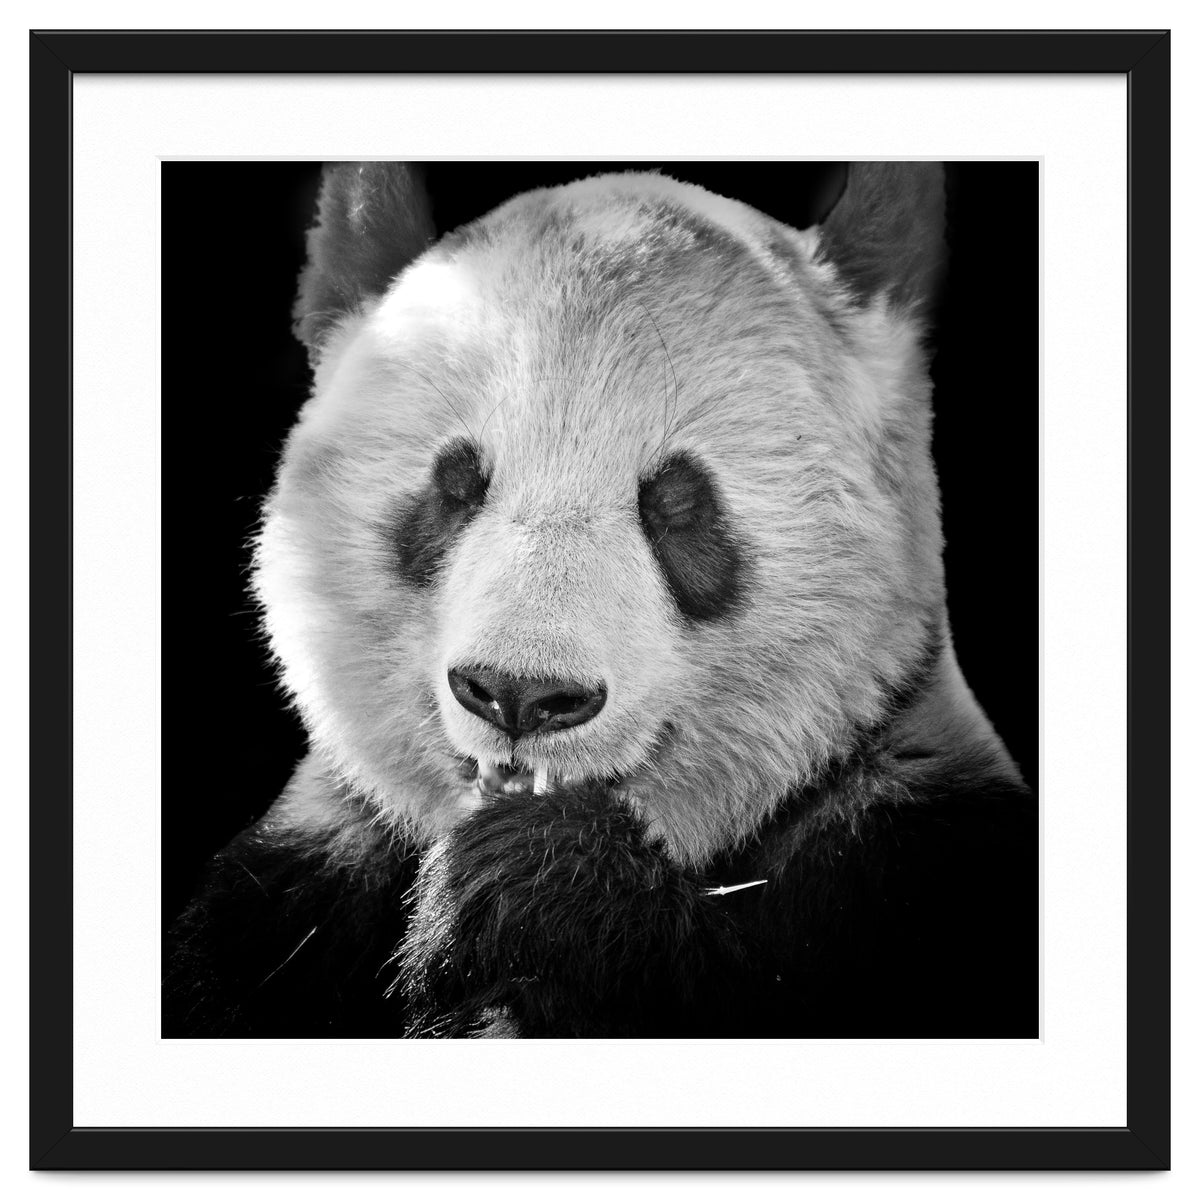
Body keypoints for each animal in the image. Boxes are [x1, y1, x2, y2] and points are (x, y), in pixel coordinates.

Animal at [164, 162, 1037, 1039]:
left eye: (677, 504)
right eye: (455, 485)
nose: (520, 694)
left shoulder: (912, 857)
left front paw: (536, 885)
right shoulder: (290, 892)